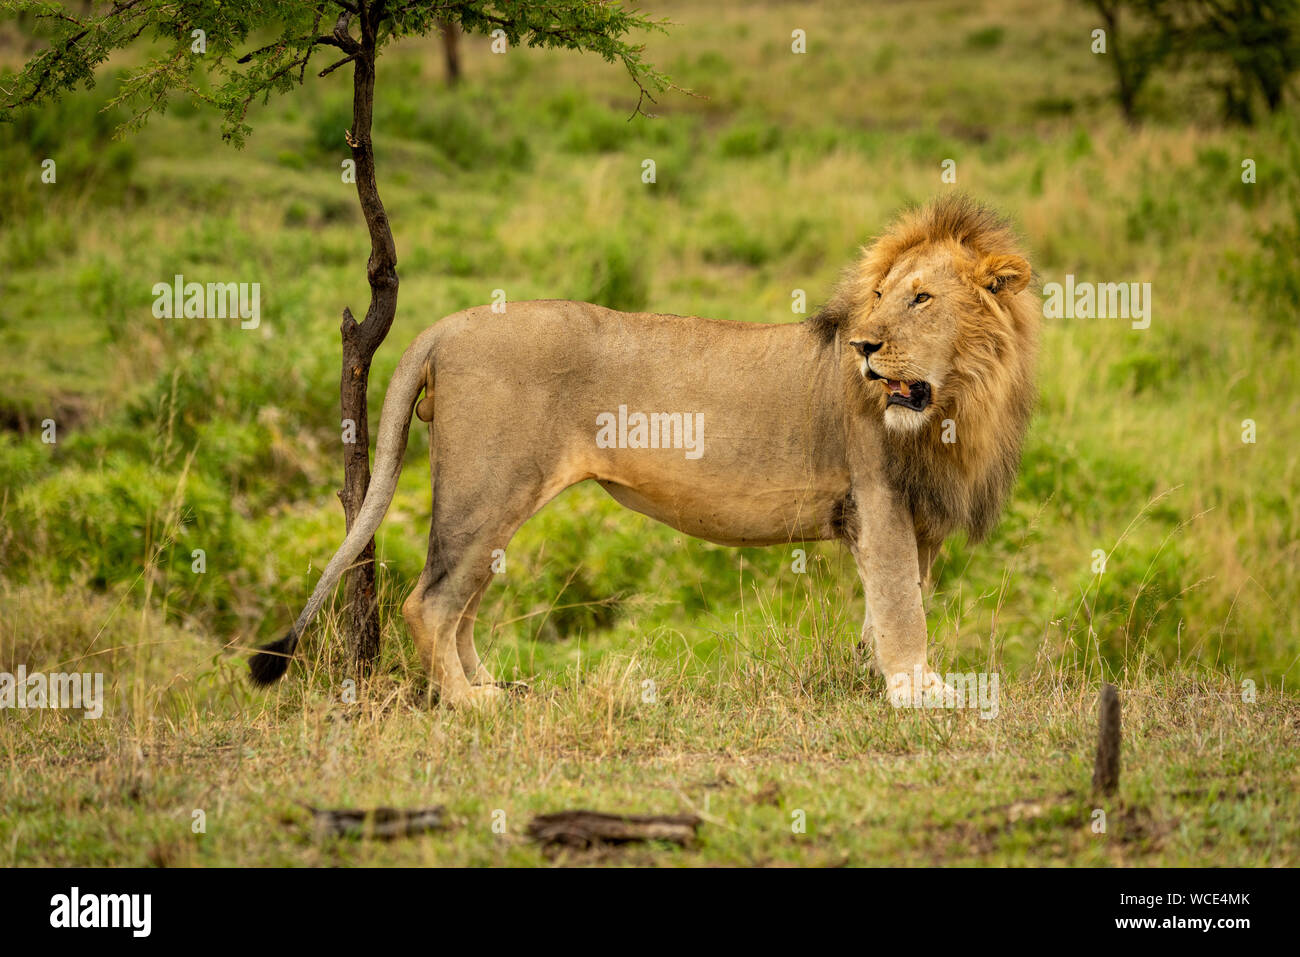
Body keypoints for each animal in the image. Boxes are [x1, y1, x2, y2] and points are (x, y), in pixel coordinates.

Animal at [249, 195, 1038, 709]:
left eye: (921, 299)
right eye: (880, 297)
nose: (865, 347)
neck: (958, 401)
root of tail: (443, 326)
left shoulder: (915, 516)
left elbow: (891, 603)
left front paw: (882, 679)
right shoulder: (877, 496)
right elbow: (904, 608)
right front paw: (919, 694)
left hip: (497, 503)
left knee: (459, 603)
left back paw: (491, 688)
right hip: (487, 488)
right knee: (429, 602)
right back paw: (468, 707)